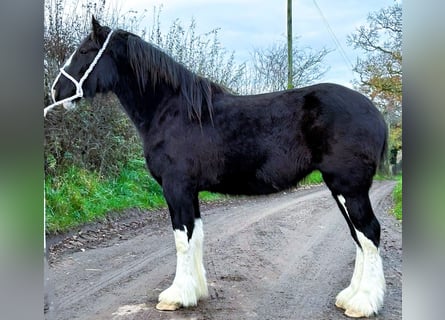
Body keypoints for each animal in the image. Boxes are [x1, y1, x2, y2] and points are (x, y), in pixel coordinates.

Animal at [50, 17, 386, 318]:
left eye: (84, 51)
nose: (56, 91)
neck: (172, 110)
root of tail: (375, 112)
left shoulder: (176, 188)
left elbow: (181, 239)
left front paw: (175, 297)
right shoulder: (190, 191)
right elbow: (195, 236)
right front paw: (195, 292)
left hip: (348, 187)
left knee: (369, 232)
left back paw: (362, 304)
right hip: (340, 188)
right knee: (358, 236)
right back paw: (350, 297)